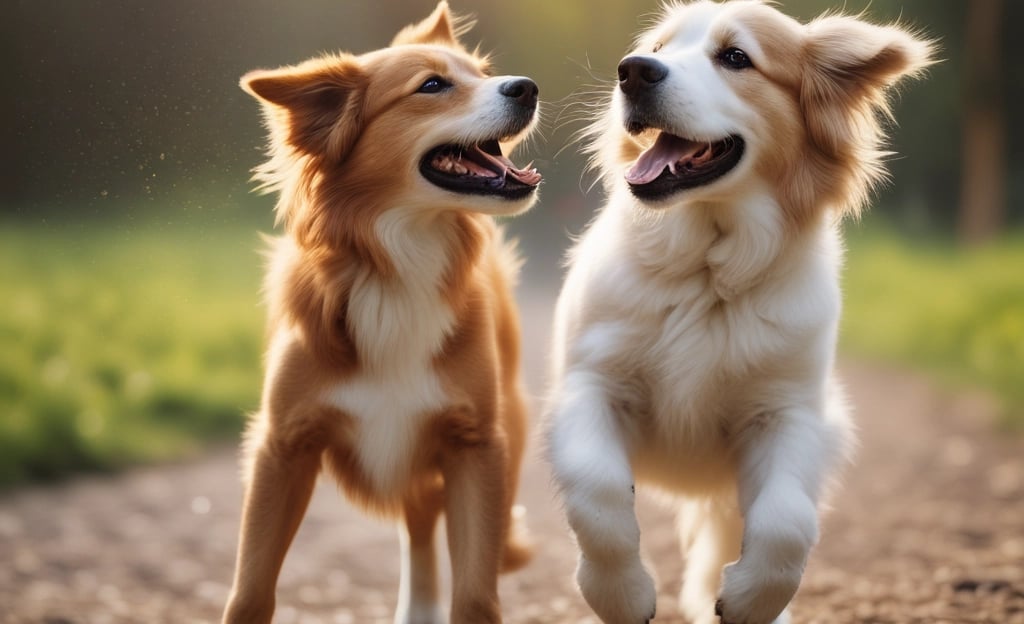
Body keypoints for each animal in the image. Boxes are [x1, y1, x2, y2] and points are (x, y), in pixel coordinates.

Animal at [548, 1, 933, 622]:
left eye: (735, 57)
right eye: (657, 48)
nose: (633, 71)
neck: (706, 272)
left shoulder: (791, 413)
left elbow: (787, 522)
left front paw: (752, 600)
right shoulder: (591, 385)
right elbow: (598, 491)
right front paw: (622, 594)